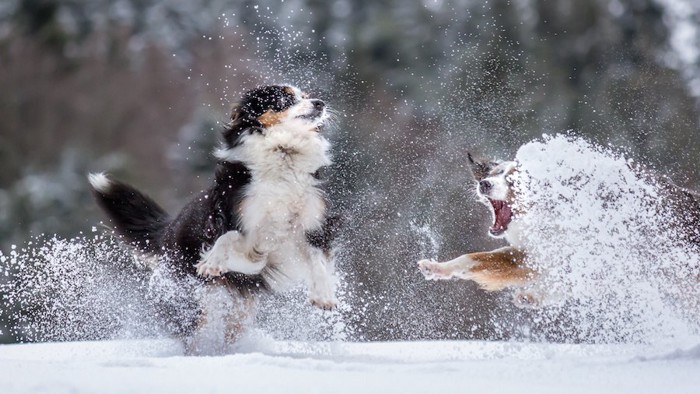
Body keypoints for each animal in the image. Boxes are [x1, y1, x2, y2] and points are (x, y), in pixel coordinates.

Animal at [89, 84, 340, 350]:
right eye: (284, 98)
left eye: (306, 96)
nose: (320, 103)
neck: (284, 151)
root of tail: (170, 227)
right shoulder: (241, 226)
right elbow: (227, 236)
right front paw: (212, 261)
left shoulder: (309, 228)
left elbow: (318, 258)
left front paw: (324, 294)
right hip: (191, 300)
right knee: (194, 332)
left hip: (240, 309)